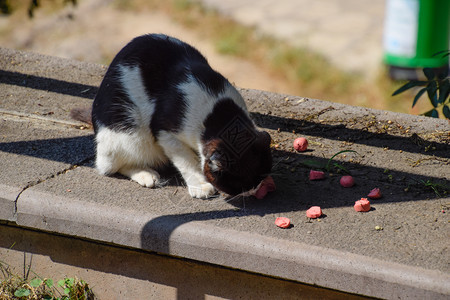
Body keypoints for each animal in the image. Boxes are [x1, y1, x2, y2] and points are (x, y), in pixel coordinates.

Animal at [73, 34, 270, 199]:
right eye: (240, 183)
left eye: (258, 177)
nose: (253, 190)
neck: (218, 112)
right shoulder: (166, 132)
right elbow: (186, 161)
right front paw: (200, 185)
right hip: (127, 134)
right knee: (110, 166)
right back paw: (146, 174)